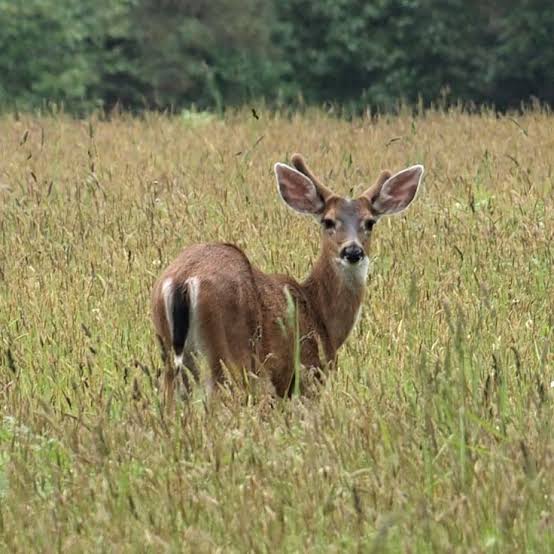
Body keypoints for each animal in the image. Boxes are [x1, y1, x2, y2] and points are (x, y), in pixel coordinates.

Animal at [151, 153, 422, 398]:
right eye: (328, 221)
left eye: (370, 222)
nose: (352, 251)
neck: (321, 315)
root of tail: (183, 280)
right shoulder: (308, 374)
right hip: (230, 356)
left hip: (170, 355)